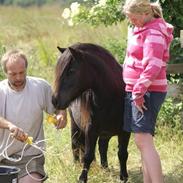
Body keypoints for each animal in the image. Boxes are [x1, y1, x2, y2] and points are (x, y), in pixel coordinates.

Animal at [52, 43, 131, 183]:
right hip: (76, 126)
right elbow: (88, 156)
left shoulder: (125, 132)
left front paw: (123, 177)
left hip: (105, 133)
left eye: (71, 71)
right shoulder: (91, 130)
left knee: (102, 146)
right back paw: (76, 165)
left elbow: (122, 154)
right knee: (75, 145)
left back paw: (105, 168)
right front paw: (82, 178)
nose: (54, 100)